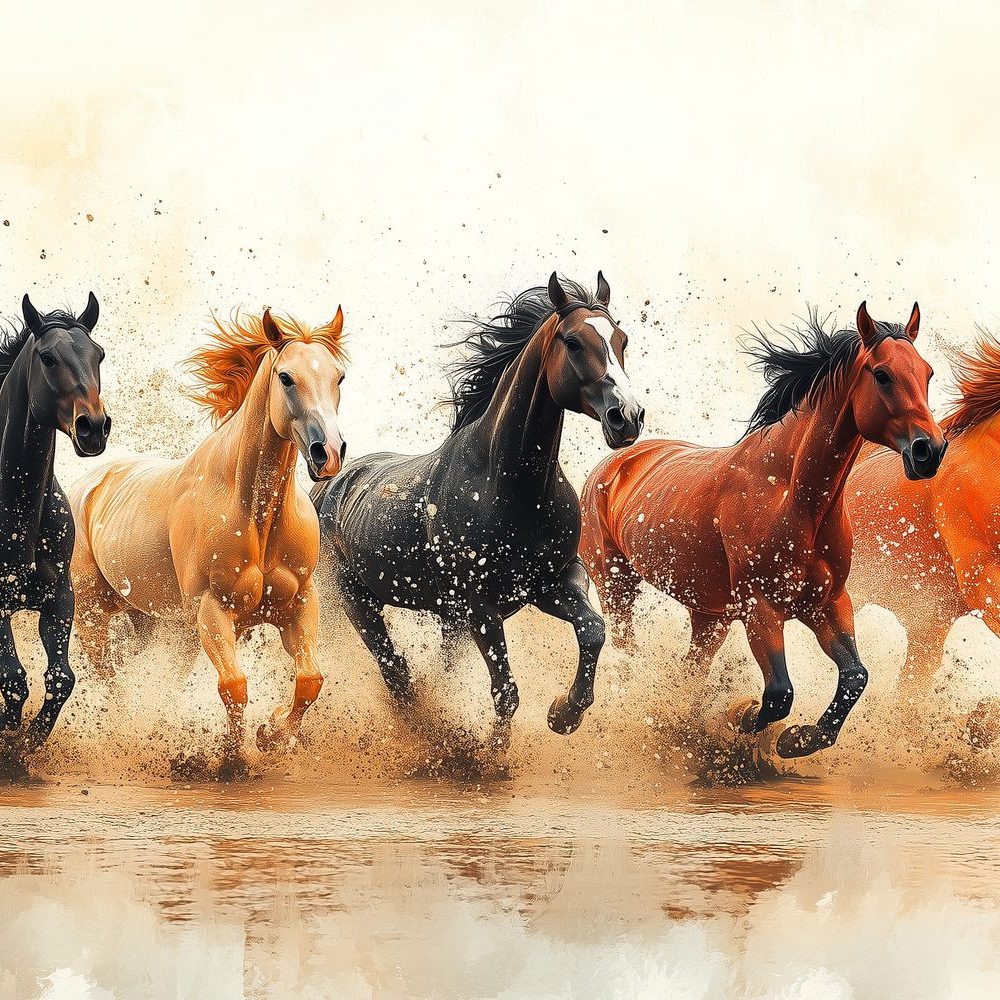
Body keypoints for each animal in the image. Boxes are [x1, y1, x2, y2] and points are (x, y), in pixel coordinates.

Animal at [69, 307, 348, 778]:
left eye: (339, 376)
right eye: (286, 377)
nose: (327, 452)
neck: (254, 514)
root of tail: (83, 487)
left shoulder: (298, 602)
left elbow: (310, 679)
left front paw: (272, 733)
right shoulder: (213, 608)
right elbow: (233, 686)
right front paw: (236, 757)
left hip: (156, 623)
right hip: (93, 615)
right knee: (112, 680)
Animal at [312, 273, 644, 738]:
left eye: (622, 339)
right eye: (573, 341)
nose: (626, 417)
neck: (512, 491)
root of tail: (327, 487)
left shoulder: (554, 582)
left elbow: (593, 629)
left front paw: (564, 713)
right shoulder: (481, 607)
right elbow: (506, 693)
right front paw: (490, 751)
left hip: (445, 618)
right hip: (357, 600)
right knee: (394, 670)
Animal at [580, 302, 946, 760]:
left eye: (927, 373)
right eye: (882, 374)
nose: (929, 450)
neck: (794, 499)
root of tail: (611, 464)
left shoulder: (827, 604)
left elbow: (855, 676)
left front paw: (797, 740)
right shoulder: (762, 610)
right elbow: (778, 694)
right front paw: (740, 720)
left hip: (711, 616)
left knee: (690, 671)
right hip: (616, 585)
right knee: (629, 652)